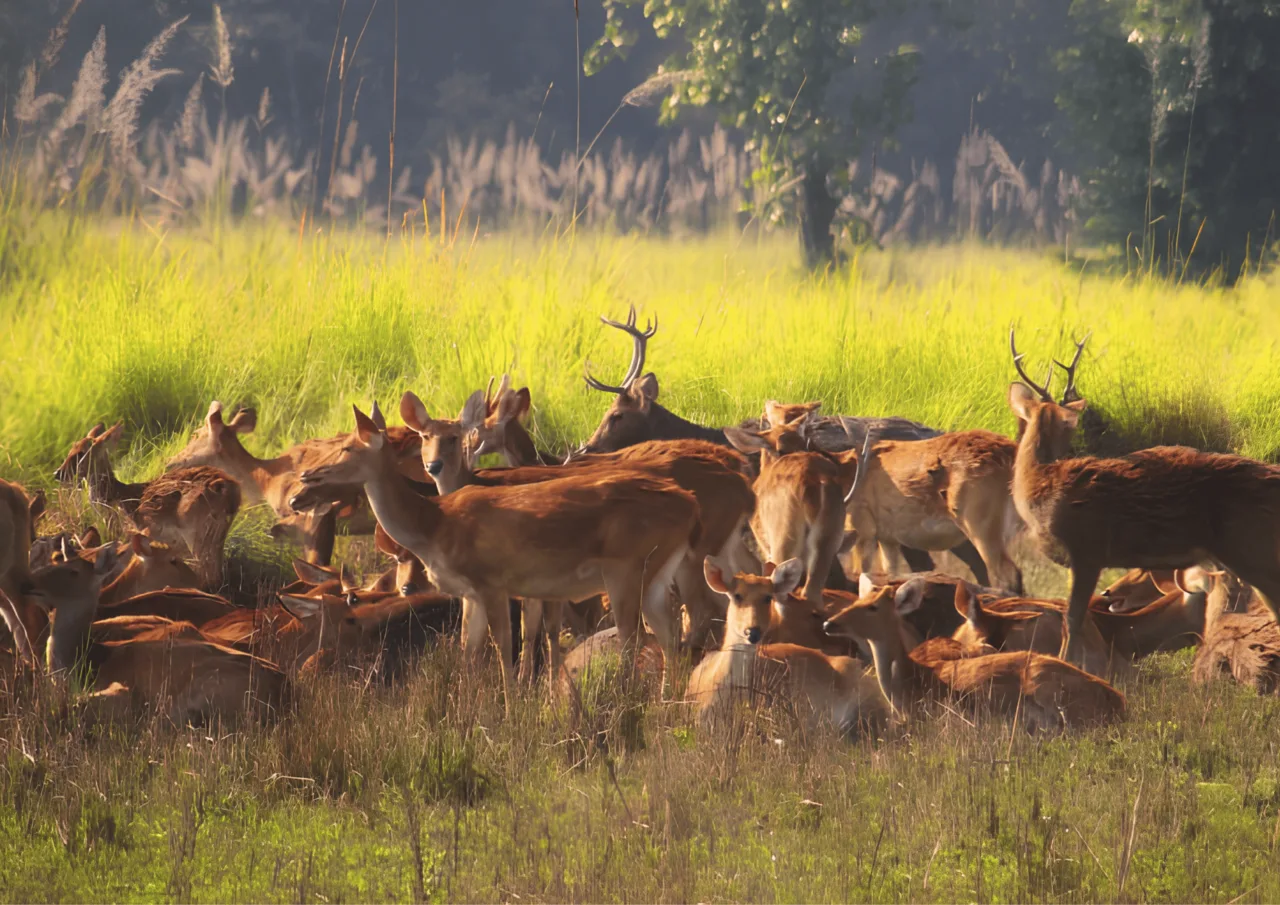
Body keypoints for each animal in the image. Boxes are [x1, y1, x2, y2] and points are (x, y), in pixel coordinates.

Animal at [56, 423, 241, 586]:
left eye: (80, 453)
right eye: (71, 448)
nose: (57, 473)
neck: (113, 500)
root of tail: (230, 489)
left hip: (194, 529)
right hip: (217, 533)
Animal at [289, 403, 702, 692]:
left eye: (346, 448)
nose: (307, 477)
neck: (433, 525)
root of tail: (689, 504)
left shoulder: (492, 582)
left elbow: (504, 647)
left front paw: (509, 708)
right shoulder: (469, 593)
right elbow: (467, 651)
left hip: (625, 570)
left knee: (635, 638)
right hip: (658, 570)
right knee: (669, 637)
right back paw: (665, 706)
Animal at [820, 574, 1126, 731]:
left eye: (872, 606)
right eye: (857, 600)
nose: (828, 623)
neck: (908, 686)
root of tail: (1118, 702)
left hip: (1045, 687)